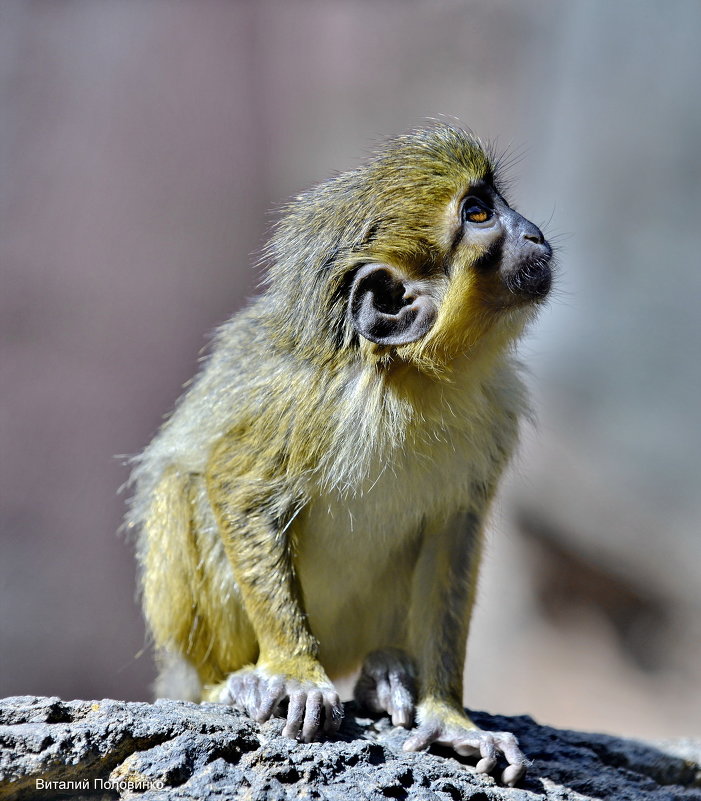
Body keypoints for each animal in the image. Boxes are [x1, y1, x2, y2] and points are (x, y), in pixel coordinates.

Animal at [127, 122, 552, 784]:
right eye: (479, 214)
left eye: (494, 204)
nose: (532, 231)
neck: (409, 377)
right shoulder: (306, 402)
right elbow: (235, 485)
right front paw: (295, 671)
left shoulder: (493, 412)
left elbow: (452, 536)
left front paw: (449, 716)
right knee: (185, 486)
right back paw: (230, 683)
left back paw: (384, 673)